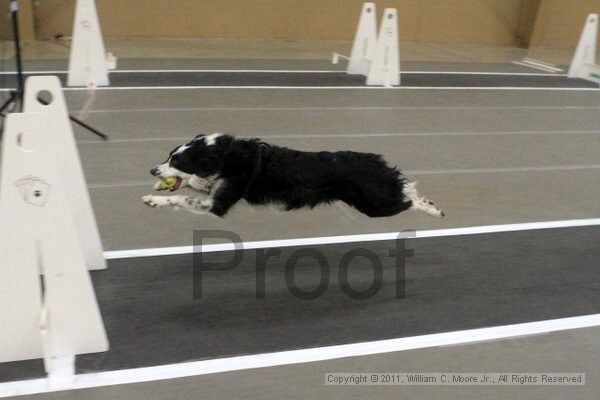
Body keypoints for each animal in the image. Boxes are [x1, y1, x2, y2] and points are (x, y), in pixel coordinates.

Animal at [142, 134, 446, 219]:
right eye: (169, 155)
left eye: (177, 160)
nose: (152, 170)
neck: (224, 155)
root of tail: (376, 161)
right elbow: (194, 185)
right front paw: (159, 188)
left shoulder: (217, 203)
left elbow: (182, 197)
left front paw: (153, 200)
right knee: (404, 189)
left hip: (373, 205)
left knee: (407, 198)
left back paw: (433, 209)